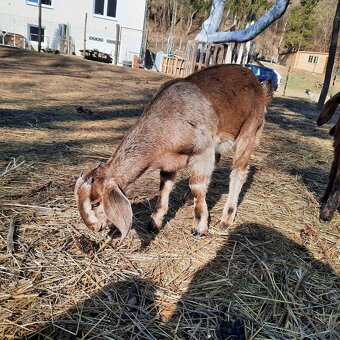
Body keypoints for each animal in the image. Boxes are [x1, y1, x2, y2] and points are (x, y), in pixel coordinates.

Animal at [75, 65, 274, 240]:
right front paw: (154, 222)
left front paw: (200, 226)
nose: (93, 227)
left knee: (239, 171)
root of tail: (259, 85)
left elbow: (198, 185)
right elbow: (165, 186)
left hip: (250, 129)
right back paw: (189, 199)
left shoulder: (203, 151)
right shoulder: (169, 161)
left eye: (96, 203)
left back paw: (226, 218)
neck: (167, 120)